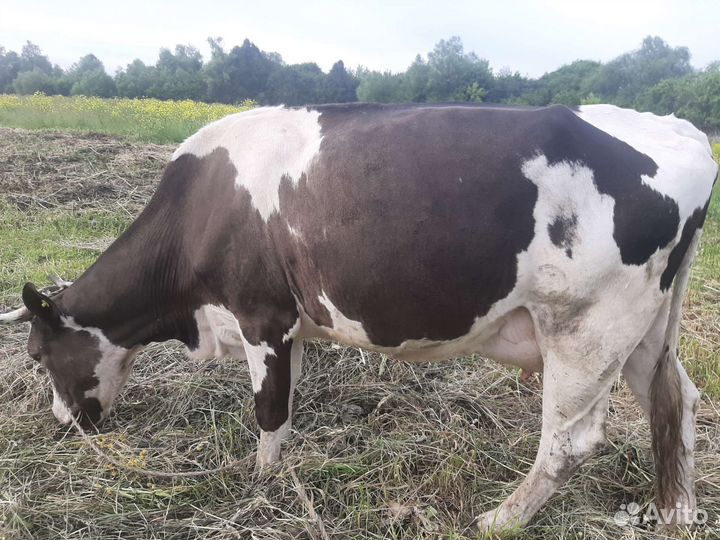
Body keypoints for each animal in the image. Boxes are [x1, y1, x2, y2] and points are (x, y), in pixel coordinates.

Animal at [1, 103, 717, 532]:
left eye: (37, 355)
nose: (64, 424)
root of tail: (680, 131)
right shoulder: (290, 325)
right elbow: (288, 399)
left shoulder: (261, 314)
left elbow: (268, 410)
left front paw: (263, 486)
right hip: (643, 328)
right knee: (676, 397)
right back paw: (676, 508)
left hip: (585, 328)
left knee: (570, 440)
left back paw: (501, 518)